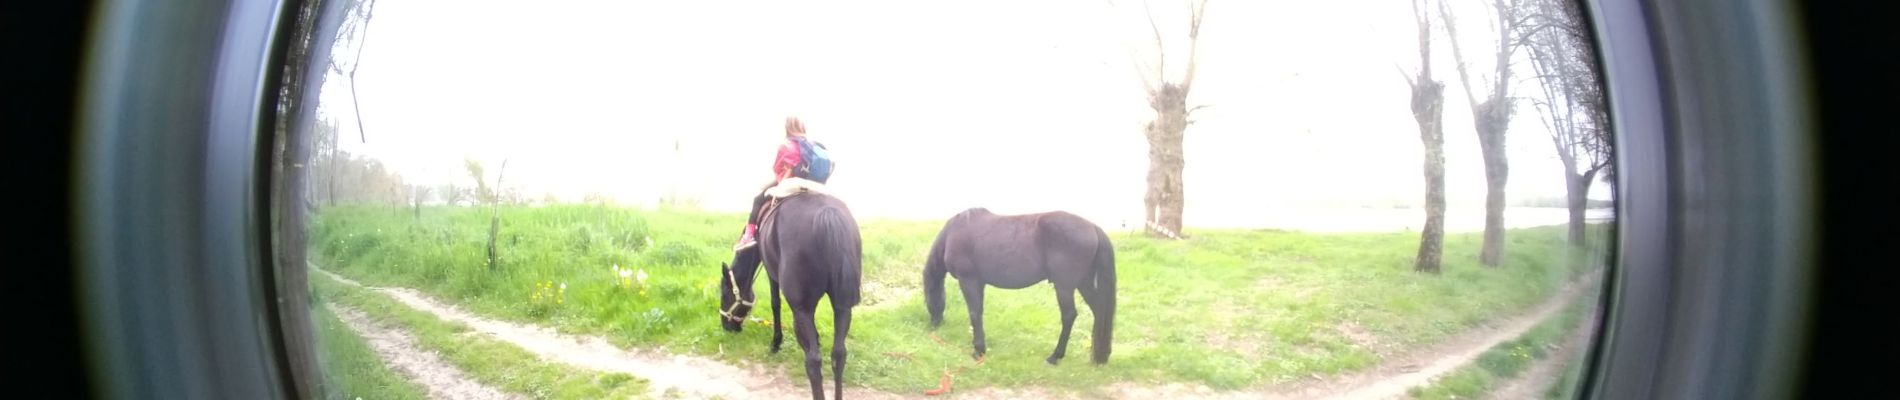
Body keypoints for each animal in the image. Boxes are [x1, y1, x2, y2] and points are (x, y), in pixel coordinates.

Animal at [718, 190, 862, 400]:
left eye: (723, 294)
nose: (727, 327)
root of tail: (828, 215)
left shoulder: (771, 273)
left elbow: (775, 303)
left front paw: (776, 343)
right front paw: (816, 337)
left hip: (800, 309)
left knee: (813, 361)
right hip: (842, 306)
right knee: (839, 354)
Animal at [919, 209, 1109, 365]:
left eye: (928, 298)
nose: (934, 324)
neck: (952, 233)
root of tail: (1093, 227)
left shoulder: (969, 281)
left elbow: (974, 313)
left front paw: (978, 350)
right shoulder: (979, 283)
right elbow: (978, 312)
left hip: (1064, 287)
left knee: (1069, 315)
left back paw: (1055, 356)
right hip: (1084, 284)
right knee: (1100, 310)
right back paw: (1099, 356)